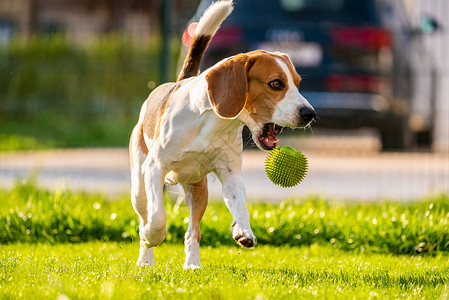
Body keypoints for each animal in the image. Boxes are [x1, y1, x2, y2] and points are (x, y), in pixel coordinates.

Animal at [129, 0, 316, 268]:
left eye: (298, 83)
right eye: (276, 84)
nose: (309, 113)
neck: (213, 124)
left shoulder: (230, 175)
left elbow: (240, 205)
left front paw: (243, 230)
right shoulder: (155, 168)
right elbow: (157, 217)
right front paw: (151, 236)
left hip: (198, 188)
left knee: (193, 231)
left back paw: (192, 265)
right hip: (139, 185)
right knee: (146, 213)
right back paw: (146, 259)